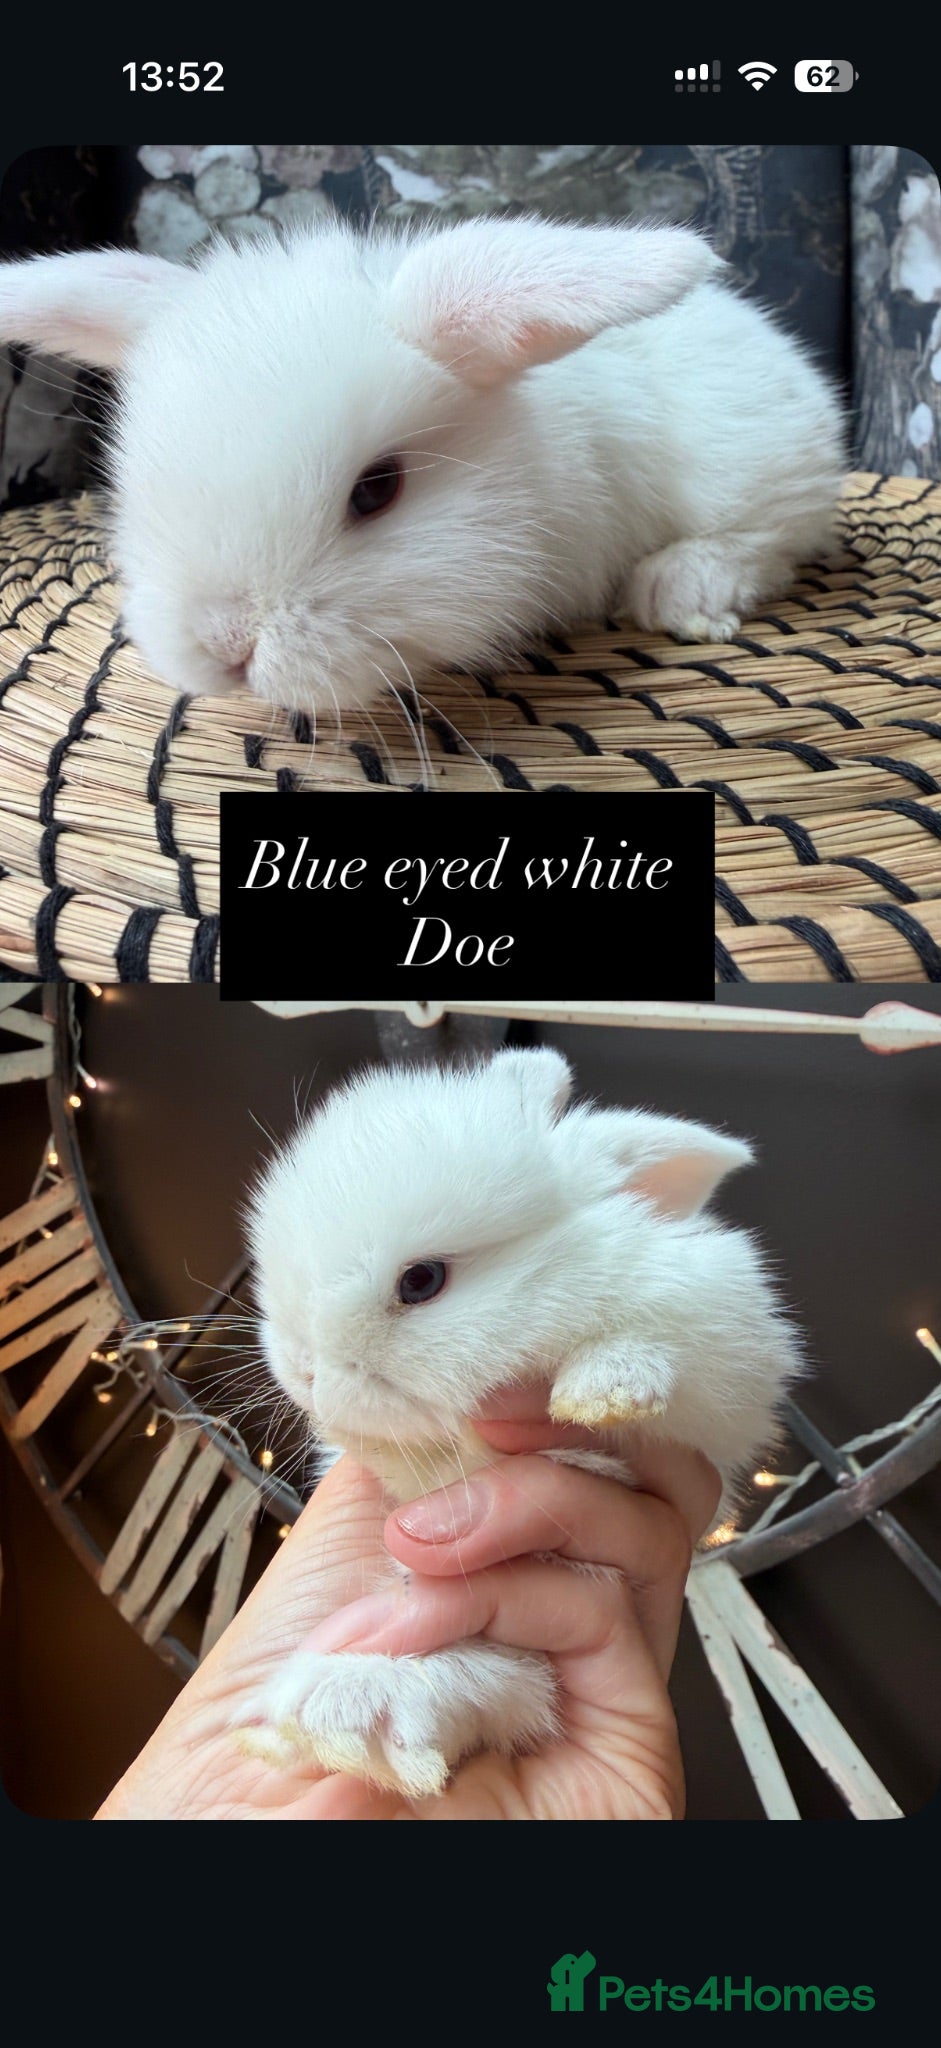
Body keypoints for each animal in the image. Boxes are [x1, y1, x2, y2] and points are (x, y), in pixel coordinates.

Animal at [242, 1045, 805, 1797]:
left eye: (421, 1280)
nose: (302, 1370)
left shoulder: (726, 1363)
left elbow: (664, 1361)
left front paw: (603, 1389)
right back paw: (340, 1716)